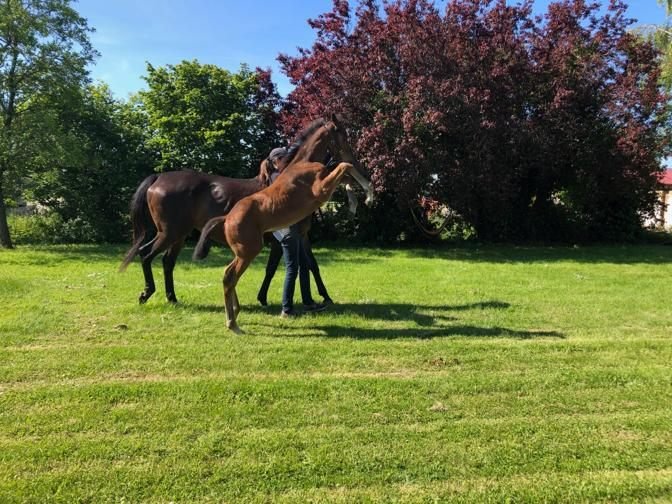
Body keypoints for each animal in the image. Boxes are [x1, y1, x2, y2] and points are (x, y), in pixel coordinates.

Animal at [193, 115, 374, 333]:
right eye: (343, 135)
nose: (355, 158)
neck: (303, 163)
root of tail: (227, 218)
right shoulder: (320, 190)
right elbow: (345, 168)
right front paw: (367, 196)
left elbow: (346, 176)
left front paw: (357, 202)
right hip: (249, 251)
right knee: (229, 277)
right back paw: (233, 323)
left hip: (242, 252)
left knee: (228, 274)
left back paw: (236, 311)